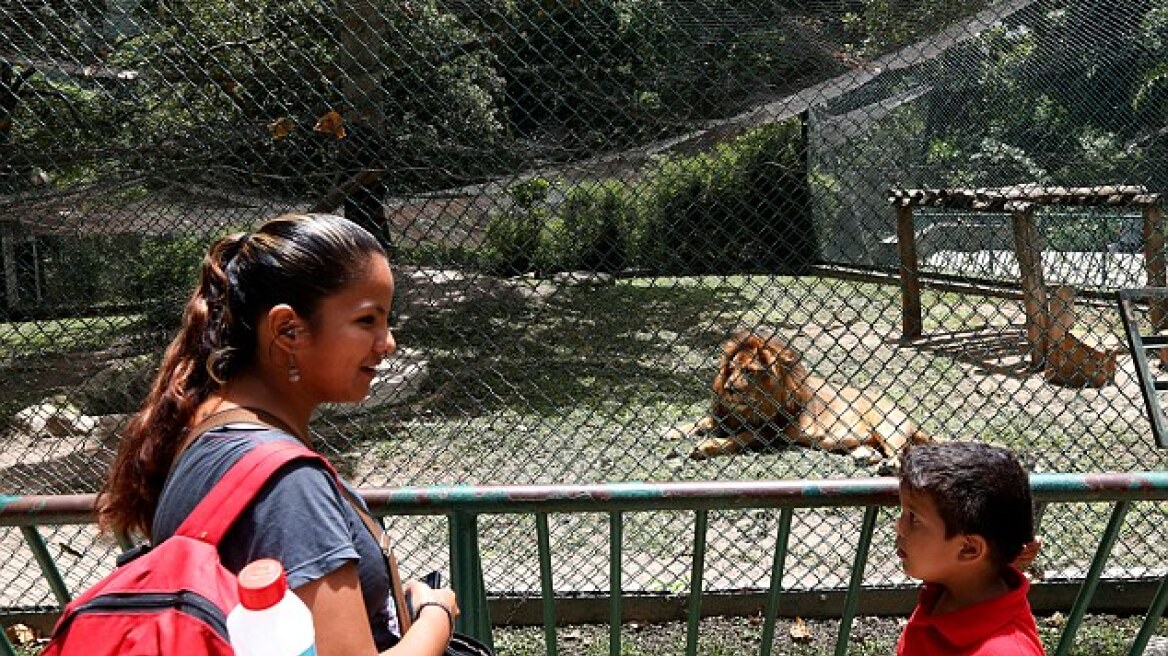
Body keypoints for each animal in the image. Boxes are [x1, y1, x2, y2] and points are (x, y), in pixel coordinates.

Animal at [682, 329, 939, 462]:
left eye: (749, 371)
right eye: (732, 368)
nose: (729, 388)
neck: (750, 407)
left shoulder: (767, 432)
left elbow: (737, 439)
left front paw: (705, 447)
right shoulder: (722, 417)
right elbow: (694, 422)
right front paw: (676, 431)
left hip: (887, 427)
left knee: (901, 452)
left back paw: (889, 465)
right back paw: (866, 456)